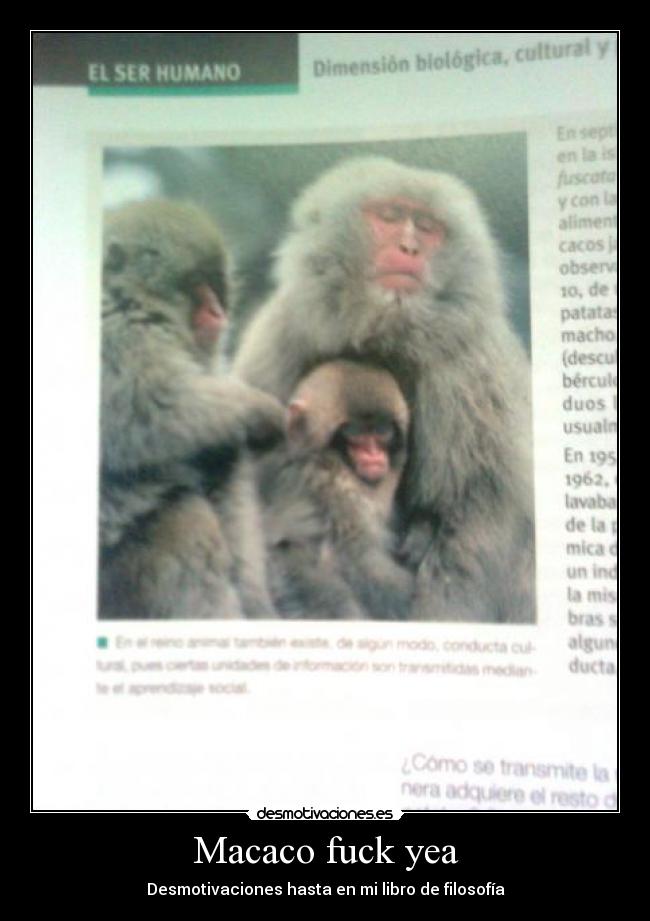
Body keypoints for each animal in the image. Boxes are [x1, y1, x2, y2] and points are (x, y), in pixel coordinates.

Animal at [98, 198, 284, 619]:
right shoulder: (119, 333)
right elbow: (152, 407)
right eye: (195, 285)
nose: (218, 312)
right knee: (186, 520)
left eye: (214, 285)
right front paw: (261, 408)